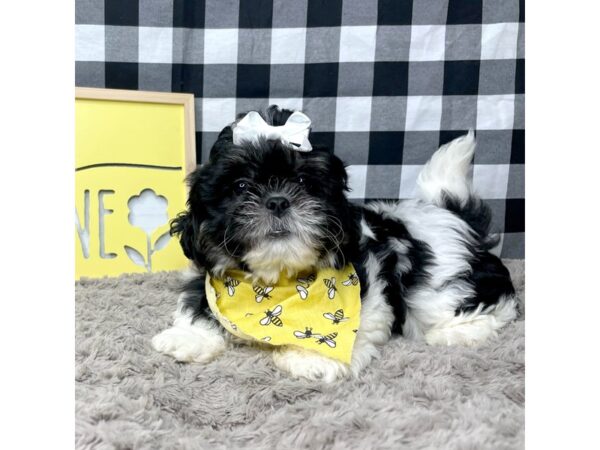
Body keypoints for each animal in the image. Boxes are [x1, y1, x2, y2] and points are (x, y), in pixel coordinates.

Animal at [152, 106, 516, 384]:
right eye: (241, 186)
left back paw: (458, 332)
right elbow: (198, 302)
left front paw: (311, 357)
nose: (278, 201)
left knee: (490, 306)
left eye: (303, 182)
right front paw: (190, 337)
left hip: (442, 288)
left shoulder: (373, 296)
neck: (277, 282)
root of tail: (452, 214)